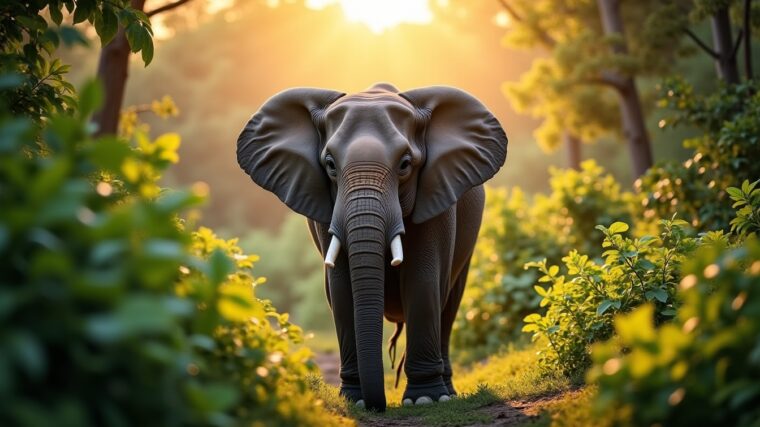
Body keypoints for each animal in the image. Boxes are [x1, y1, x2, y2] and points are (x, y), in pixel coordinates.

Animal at [236, 83, 508, 411]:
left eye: (405, 165)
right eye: (330, 165)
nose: (377, 404)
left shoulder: (438, 198)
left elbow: (422, 280)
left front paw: (425, 399)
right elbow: (341, 288)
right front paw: (355, 400)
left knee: (450, 301)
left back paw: (448, 393)